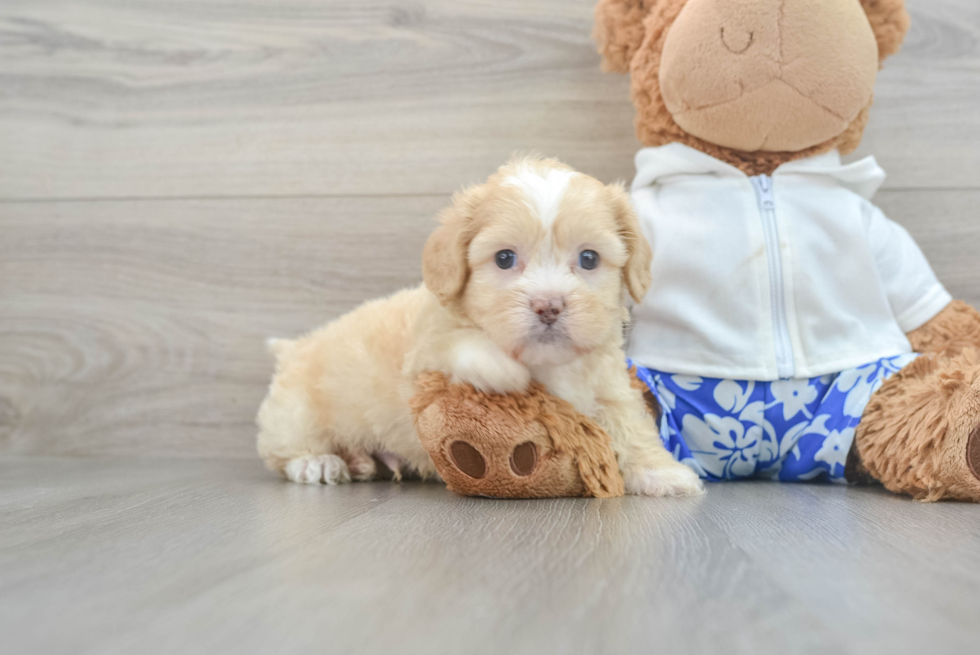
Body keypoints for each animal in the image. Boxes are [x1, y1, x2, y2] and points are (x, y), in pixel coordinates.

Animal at [256, 158, 700, 498]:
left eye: (589, 258)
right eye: (504, 258)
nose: (548, 306)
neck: (552, 365)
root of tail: (293, 347)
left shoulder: (609, 383)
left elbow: (631, 424)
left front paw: (662, 472)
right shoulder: (426, 350)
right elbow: (468, 344)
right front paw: (509, 374)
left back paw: (364, 461)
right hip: (296, 412)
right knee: (282, 450)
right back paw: (319, 462)